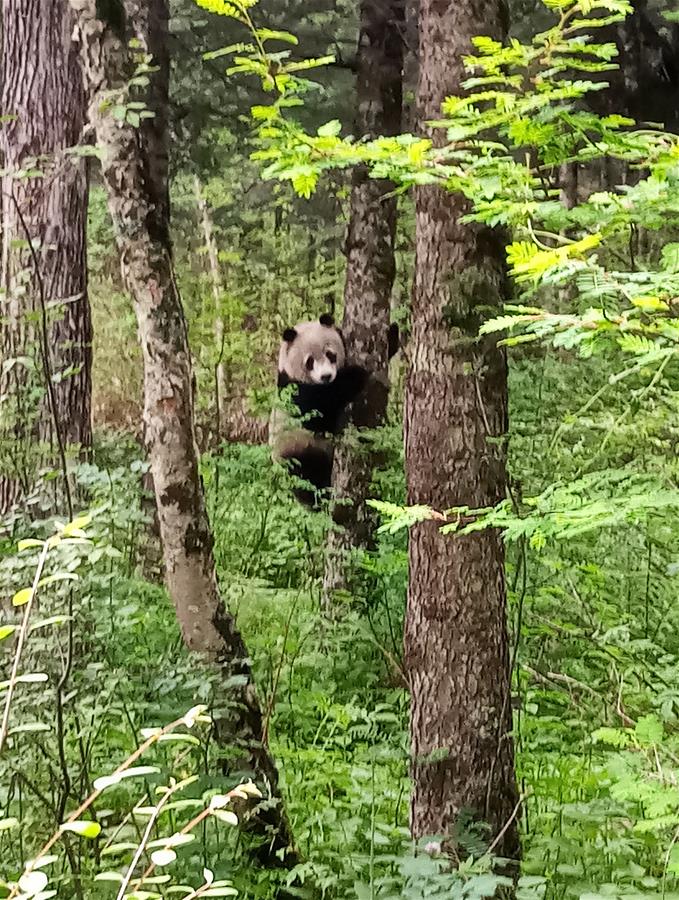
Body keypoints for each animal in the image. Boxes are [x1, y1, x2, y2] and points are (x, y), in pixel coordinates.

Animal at [270, 312, 398, 506]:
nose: (326, 376)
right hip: (296, 449)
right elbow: (319, 416)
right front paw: (354, 375)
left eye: (330, 354)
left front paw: (393, 334)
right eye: (310, 361)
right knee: (310, 475)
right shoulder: (292, 391)